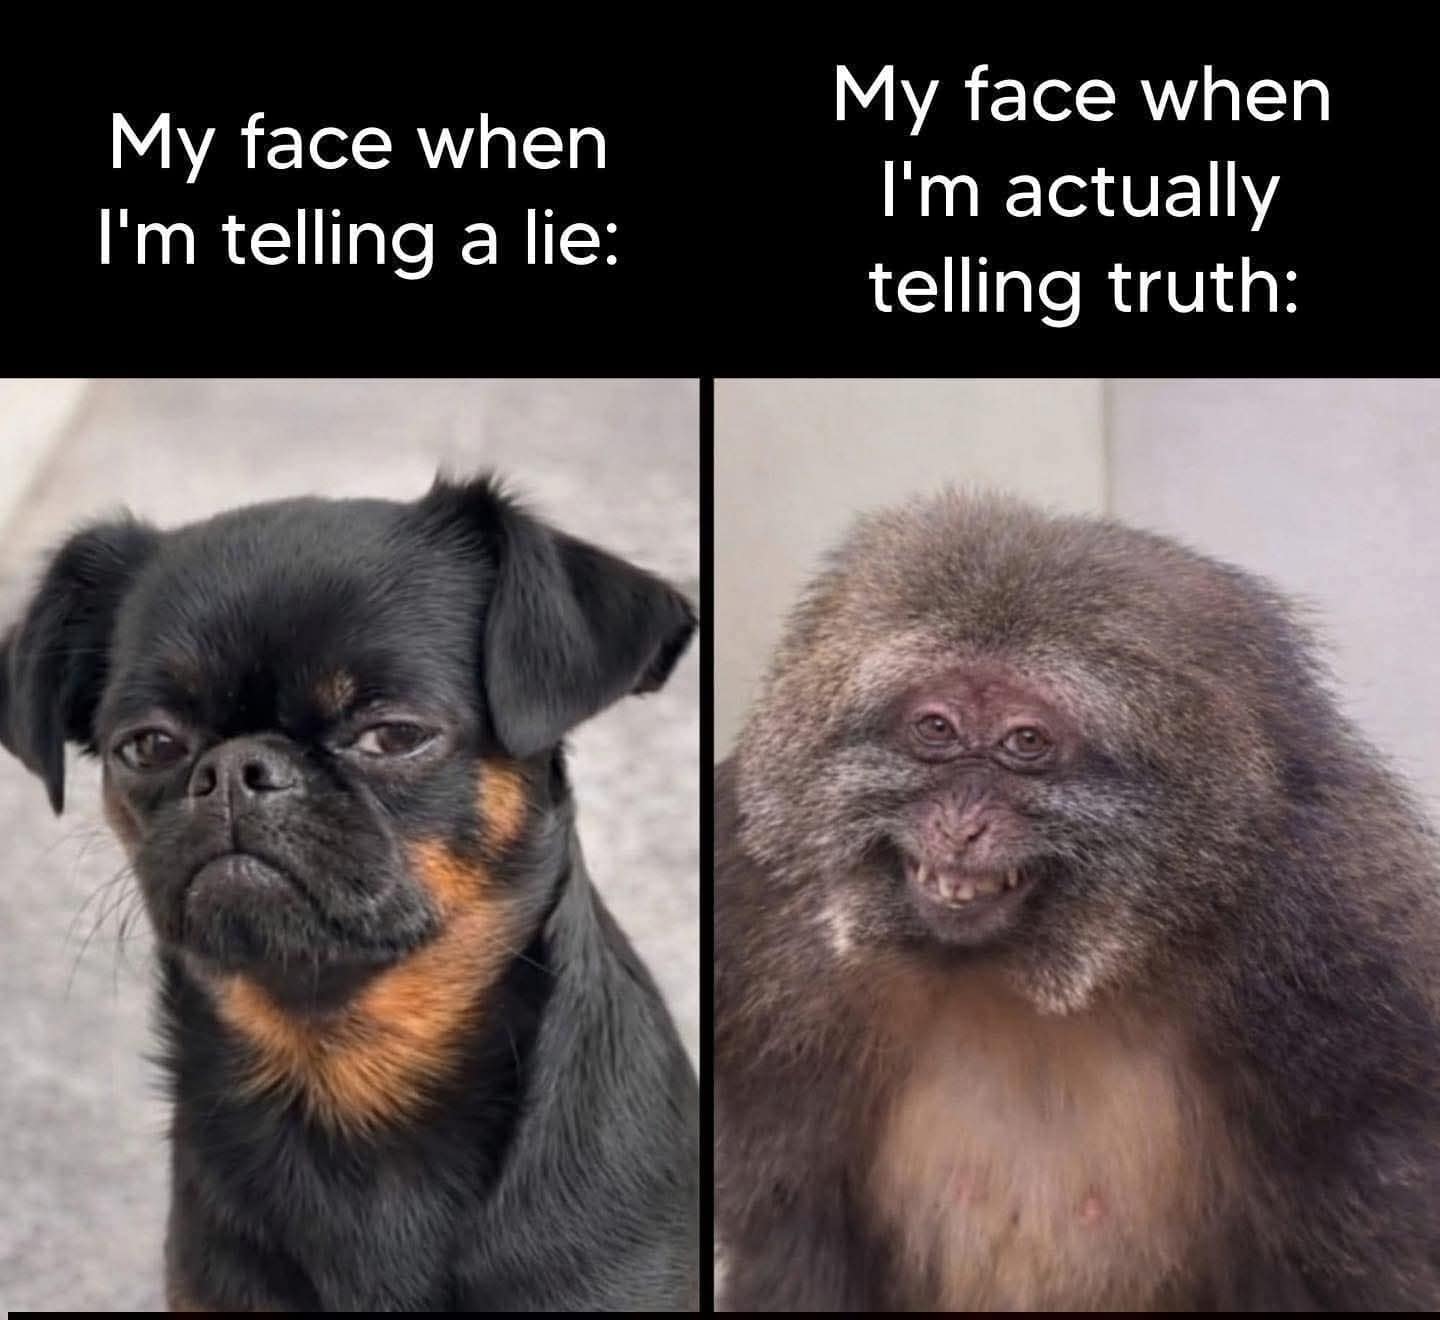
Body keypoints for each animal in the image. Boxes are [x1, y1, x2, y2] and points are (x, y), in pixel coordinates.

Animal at [714, 488, 1440, 1311]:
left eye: (1026, 742)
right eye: (935, 728)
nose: (960, 821)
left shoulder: (1342, 951)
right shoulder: (754, 919)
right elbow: (794, 1243)